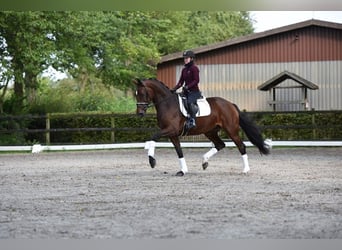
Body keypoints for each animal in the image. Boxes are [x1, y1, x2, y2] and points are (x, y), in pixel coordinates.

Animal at [134, 78, 270, 176]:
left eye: (142, 93)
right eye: (136, 94)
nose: (139, 113)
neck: (167, 104)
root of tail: (230, 104)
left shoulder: (171, 130)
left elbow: (153, 137)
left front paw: (152, 161)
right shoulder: (173, 135)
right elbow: (179, 151)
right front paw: (183, 171)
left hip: (231, 130)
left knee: (241, 146)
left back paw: (245, 170)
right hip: (210, 131)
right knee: (220, 144)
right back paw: (204, 161)